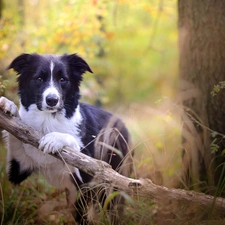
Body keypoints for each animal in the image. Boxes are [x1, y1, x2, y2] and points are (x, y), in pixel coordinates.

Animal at [0, 53, 133, 225]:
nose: (52, 100)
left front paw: (55, 139)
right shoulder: (19, 168)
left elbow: (77, 148)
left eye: (63, 79)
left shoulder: (90, 177)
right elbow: (17, 133)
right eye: (38, 79)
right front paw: (7, 104)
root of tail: (122, 123)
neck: (48, 121)